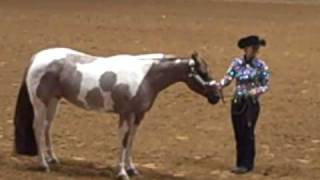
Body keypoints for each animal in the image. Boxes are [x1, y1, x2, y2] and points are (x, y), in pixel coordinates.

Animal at [14, 47, 220, 180]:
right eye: (202, 73)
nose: (216, 96)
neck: (145, 77)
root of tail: (36, 58)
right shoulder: (126, 114)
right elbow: (123, 140)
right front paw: (121, 172)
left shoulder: (138, 115)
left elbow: (131, 141)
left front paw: (132, 169)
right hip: (40, 103)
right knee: (37, 128)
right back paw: (44, 165)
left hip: (53, 102)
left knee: (47, 127)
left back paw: (53, 159)